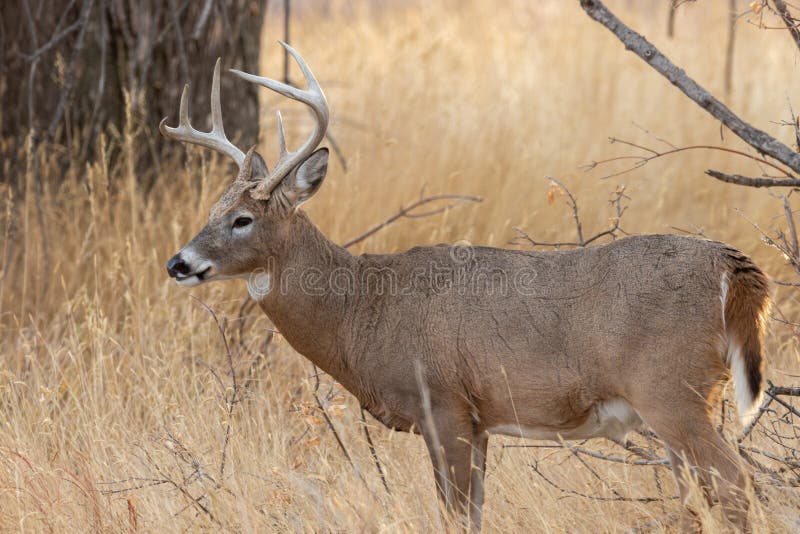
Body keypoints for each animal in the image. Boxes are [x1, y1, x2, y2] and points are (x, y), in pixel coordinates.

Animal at [161, 44, 768, 532]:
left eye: (242, 219)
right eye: (211, 211)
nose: (178, 263)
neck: (362, 309)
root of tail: (732, 266)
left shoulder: (444, 403)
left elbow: (452, 515)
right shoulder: (479, 424)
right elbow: (473, 513)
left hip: (670, 389)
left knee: (736, 485)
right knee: (704, 494)